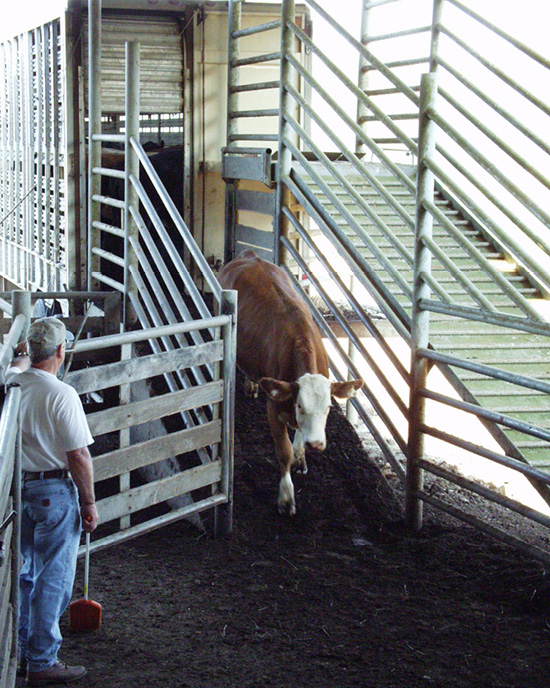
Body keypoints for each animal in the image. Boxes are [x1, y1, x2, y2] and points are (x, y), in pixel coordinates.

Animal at [220, 250, 366, 512]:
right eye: (300, 405)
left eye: (329, 407)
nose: (316, 444)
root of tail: (251, 255)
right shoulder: (274, 406)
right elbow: (284, 451)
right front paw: (286, 497)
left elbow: (297, 439)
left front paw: (301, 457)